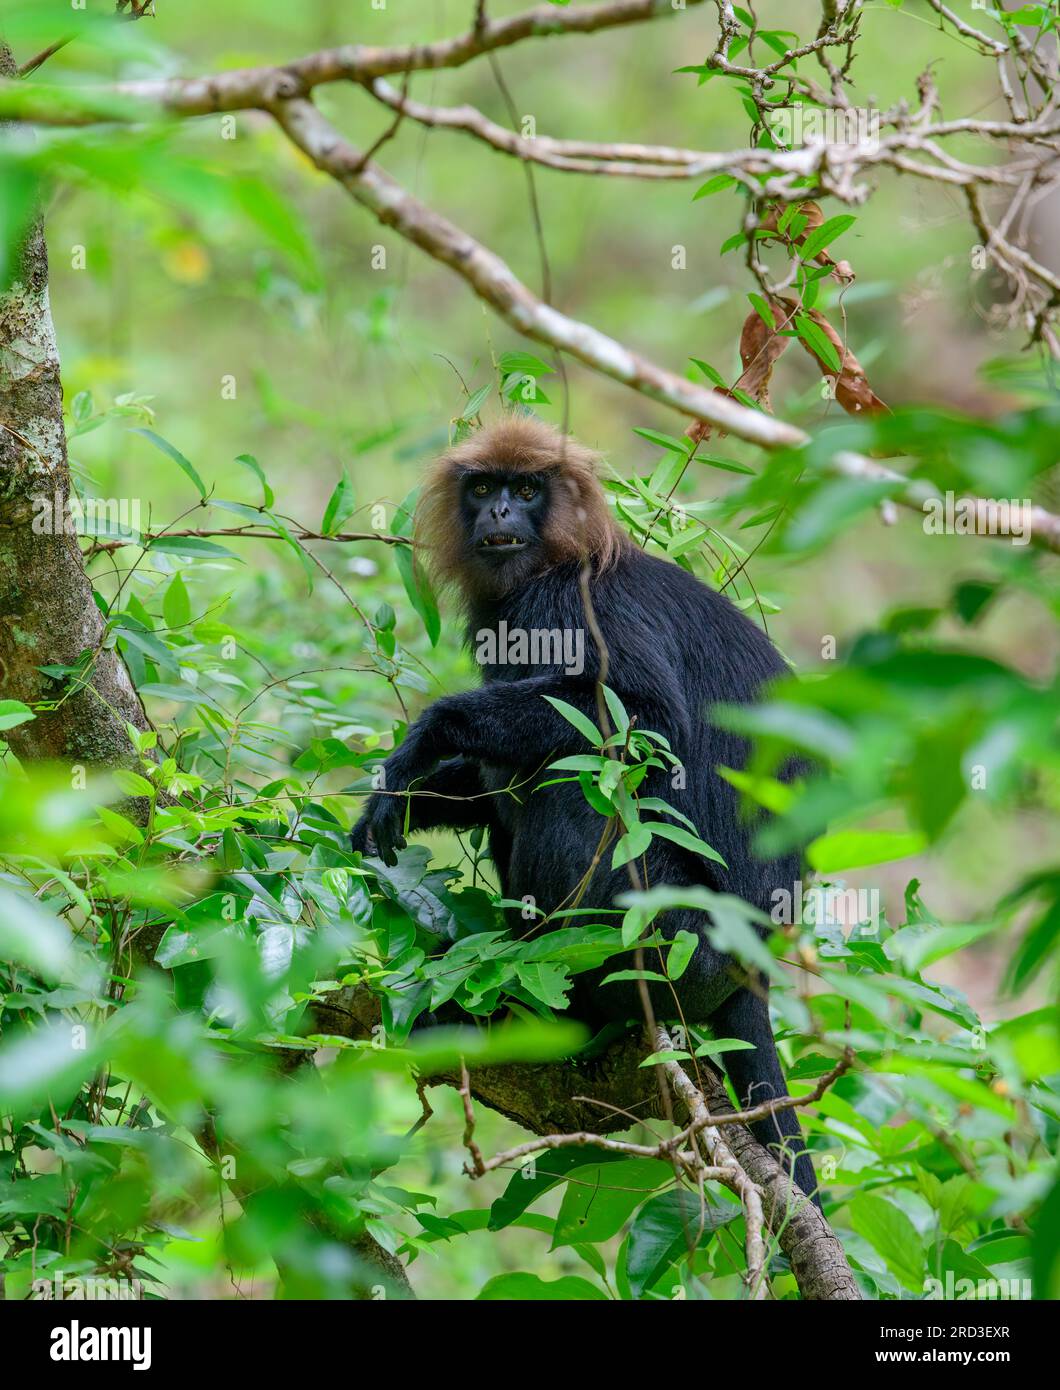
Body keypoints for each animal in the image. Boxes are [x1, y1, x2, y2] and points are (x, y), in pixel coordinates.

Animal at [354, 414, 822, 1206]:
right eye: (484, 486)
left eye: (526, 490)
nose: (498, 512)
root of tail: (753, 960)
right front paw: (401, 799)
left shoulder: (567, 605)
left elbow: (641, 720)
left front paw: (429, 736)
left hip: (672, 945)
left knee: (574, 782)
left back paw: (562, 1010)